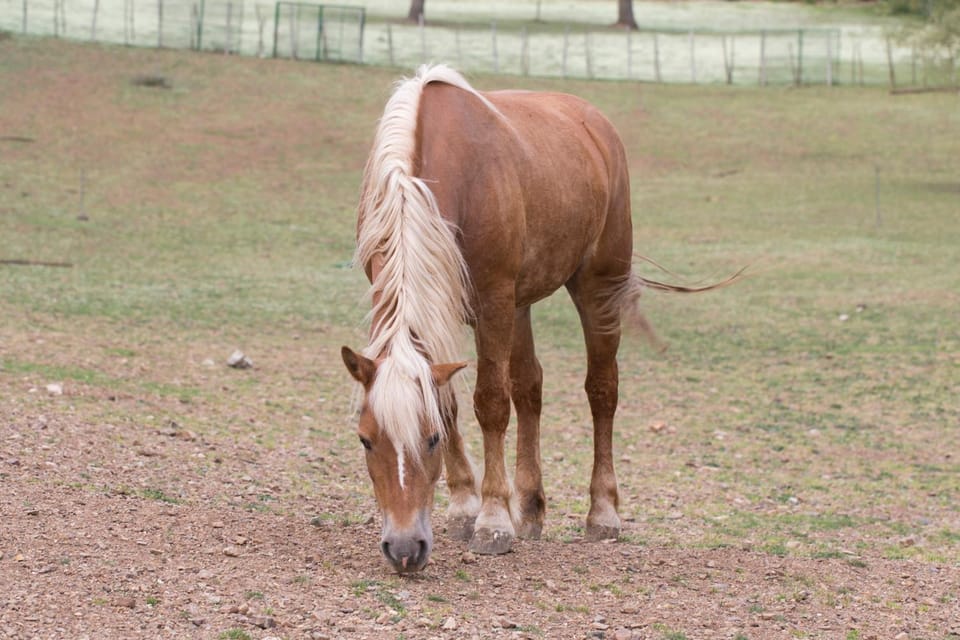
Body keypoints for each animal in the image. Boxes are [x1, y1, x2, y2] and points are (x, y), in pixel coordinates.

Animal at [343, 65, 686, 574]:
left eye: (430, 440)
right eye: (366, 440)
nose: (404, 548)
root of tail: (595, 123)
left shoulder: (493, 303)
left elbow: (490, 403)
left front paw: (491, 521)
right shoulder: (445, 306)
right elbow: (452, 401)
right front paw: (466, 507)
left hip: (595, 288)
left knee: (602, 390)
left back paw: (602, 513)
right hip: (522, 306)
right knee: (530, 387)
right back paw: (529, 507)